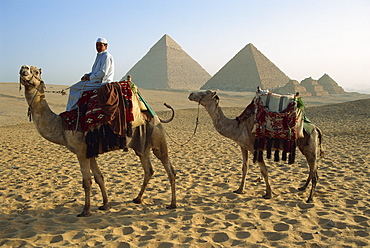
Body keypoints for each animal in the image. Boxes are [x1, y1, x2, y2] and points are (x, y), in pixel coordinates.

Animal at [18, 65, 177, 216]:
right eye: (26, 68)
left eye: (36, 71)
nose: (23, 68)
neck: (62, 126)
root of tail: (154, 115)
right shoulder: (91, 152)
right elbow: (99, 177)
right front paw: (105, 204)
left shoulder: (81, 153)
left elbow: (87, 182)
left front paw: (86, 210)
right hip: (141, 145)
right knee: (148, 170)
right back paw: (138, 198)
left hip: (157, 138)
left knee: (169, 169)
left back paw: (172, 204)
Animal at [189, 90, 322, 202]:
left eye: (206, 93)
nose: (191, 94)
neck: (237, 126)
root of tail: (316, 128)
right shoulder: (243, 146)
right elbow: (245, 168)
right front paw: (239, 190)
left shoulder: (254, 148)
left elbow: (264, 171)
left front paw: (268, 194)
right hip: (304, 147)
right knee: (312, 169)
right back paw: (302, 188)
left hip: (310, 147)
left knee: (315, 173)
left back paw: (310, 198)